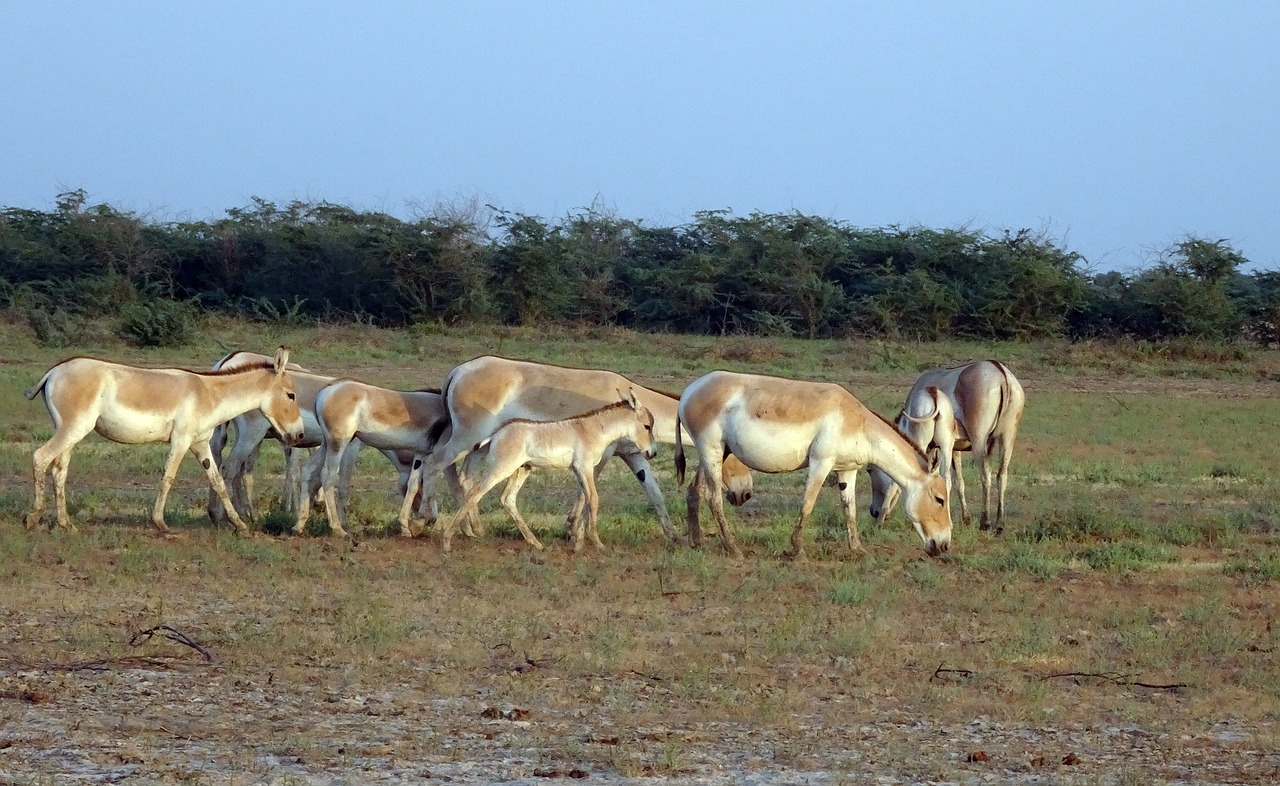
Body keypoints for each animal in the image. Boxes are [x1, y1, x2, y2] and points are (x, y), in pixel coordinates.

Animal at [26, 350, 305, 535]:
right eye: (291, 395)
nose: (300, 435)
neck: (209, 394)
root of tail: (54, 371)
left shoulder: (200, 444)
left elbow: (217, 481)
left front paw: (240, 525)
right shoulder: (181, 441)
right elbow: (168, 478)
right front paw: (160, 523)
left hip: (71, 432)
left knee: (59, 470)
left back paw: (65, 523)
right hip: (73, 429)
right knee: (40, 457)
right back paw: (33, 517)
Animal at [442, 391, 660, 555]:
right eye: (647, 426)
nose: (653, 453)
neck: (594, 429)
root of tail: (498, 433)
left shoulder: (580, 471)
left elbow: (584, 500)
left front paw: (578, 543)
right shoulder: (585, 468)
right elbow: (594, 499)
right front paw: (597, 543)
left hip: (522, 469)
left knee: (507, 498)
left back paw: (535, 543)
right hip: (501, 468)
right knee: (475, 493)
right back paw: (447, 540)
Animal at [675, 371, 957, 560]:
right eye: (940, 499)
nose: (943, 546)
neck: (856, 423)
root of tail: (690, 390)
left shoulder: (847, 470)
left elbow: (849, 509)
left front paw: (857, 548)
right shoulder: (821, 462)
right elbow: (808, 504)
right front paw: (797, 550)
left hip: (717, 453)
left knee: (695, 491)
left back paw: (697, 543)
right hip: (711, 450)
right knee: (714, 498)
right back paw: (732, 549)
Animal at [865, 363, 1024, 535]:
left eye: (870, 469)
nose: (874, 511)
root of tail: (1000, 372)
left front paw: (880, 522)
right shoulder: (953, 449)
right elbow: (958, 482)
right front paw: (965, 518)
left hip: (979, 441)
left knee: (986, 475)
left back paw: (985, 522)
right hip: (1007, 439)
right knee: (1001, 475)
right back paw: (999, 525)